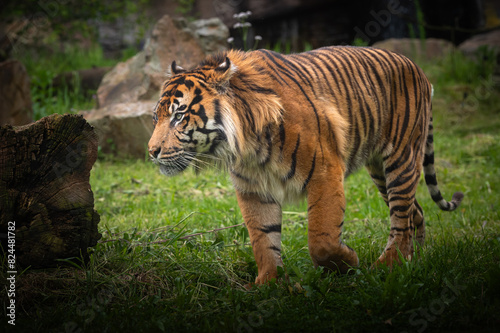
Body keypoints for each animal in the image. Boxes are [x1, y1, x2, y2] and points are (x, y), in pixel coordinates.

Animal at [147, 46, 464, 286]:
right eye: (156, 117)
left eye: (179, 116)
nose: (151, 152)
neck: (246, 144)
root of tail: (417, 67)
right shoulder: (253, 190)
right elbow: (263, 239)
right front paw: (269, 283)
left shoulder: (324, 172)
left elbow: (322, 239)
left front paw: (348, 263)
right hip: (380, 172)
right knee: (414, 211)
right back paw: (414, 259)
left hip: (401, 157)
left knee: (400, 217)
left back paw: (389, 265)